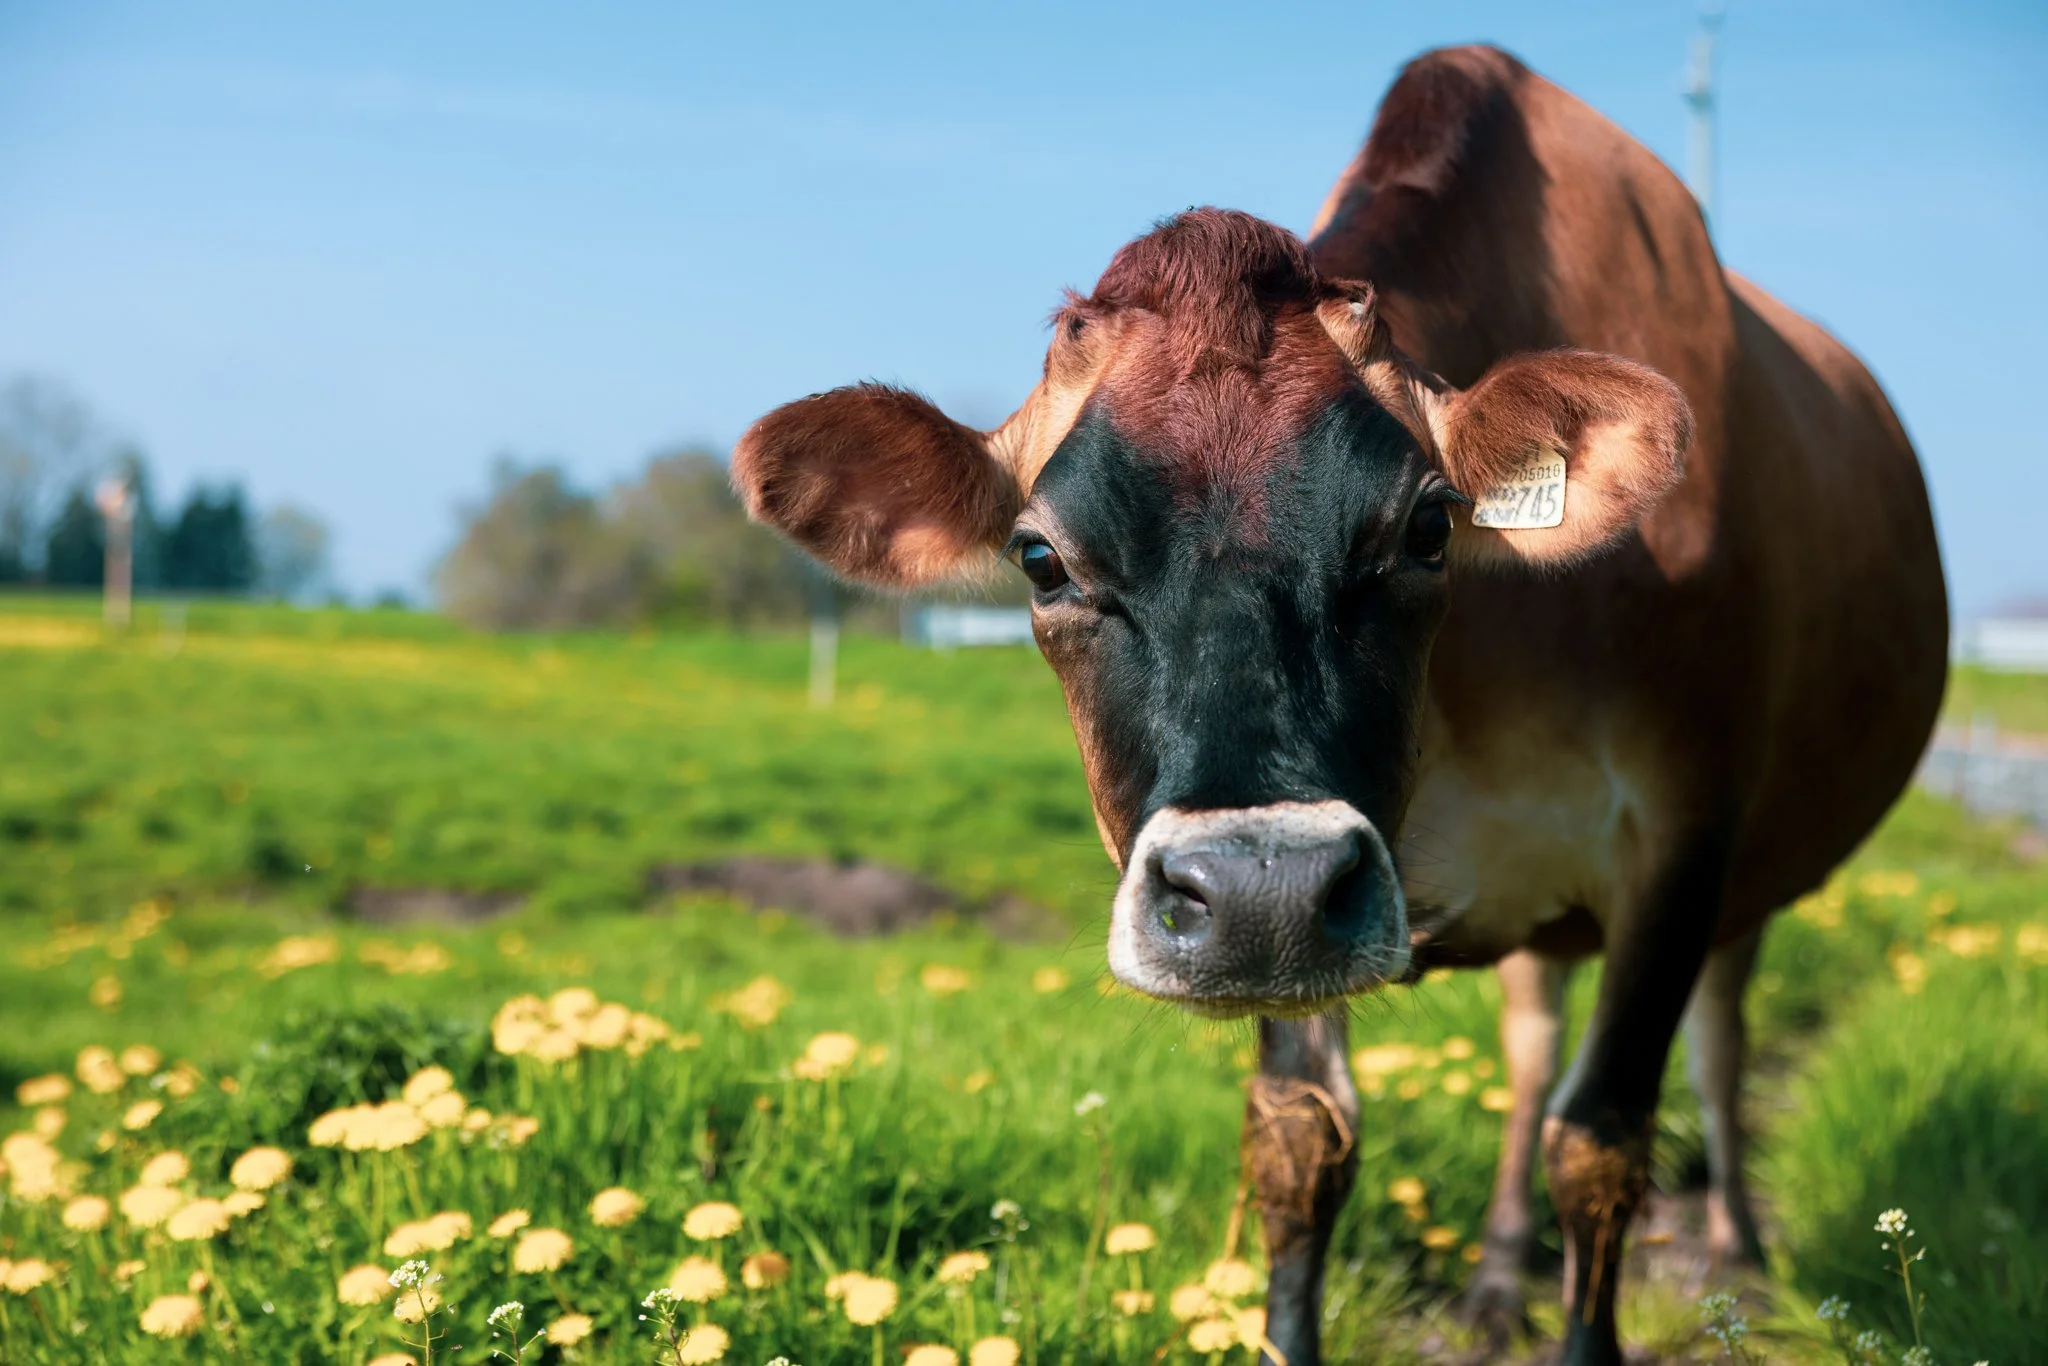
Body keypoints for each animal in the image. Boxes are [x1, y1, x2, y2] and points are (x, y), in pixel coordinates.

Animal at [731, 45, 1947, 1366]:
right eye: (1039, 558)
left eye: (1427, 526)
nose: (1263, 892)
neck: (1469, 708)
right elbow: (1300, 1136)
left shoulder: (1685, 829)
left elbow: (1602, 1139)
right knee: (1529, 1044)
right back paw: (1494, 1276)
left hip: (1746, 877)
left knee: (1716, 1043)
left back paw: (1737, 1253)